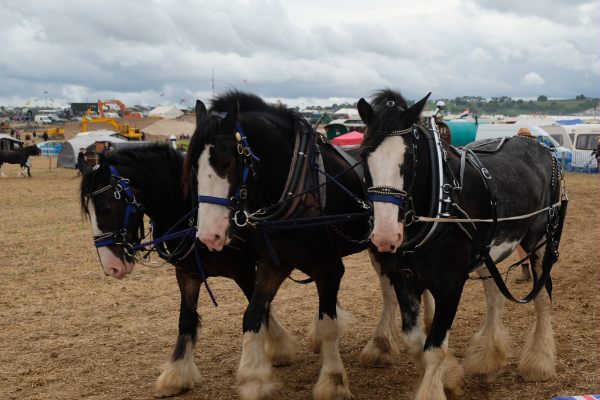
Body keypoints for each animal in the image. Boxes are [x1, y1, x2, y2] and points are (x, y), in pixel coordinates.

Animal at [81, 144, 296, 396]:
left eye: (105, 208)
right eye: (88, 212)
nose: (112, 268)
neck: (192, 214)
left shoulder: (244, 270)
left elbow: (259, 308)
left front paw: (279, 350)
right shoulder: (187, 274)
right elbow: (186, 319)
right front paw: (176, 376)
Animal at [185, 91, 390, 400]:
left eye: (226, 163)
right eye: (193, 167)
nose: (209, 236)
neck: (296, 188)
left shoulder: (329, 267)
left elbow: (329, 325)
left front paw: (333, 381)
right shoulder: (274, 264)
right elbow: (253, 315)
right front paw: (253, 380)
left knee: (391, 288)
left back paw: (382, 344)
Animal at [356, 90, 568, 400]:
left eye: (410, 158)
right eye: (363, 156)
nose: (384, 235)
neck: (440, 201)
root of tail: (542, 148)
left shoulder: (451, 283)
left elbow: (434, 349)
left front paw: (438, 386)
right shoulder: (404, 279)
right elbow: (415, 341)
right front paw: (451, 377)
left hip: (541, 241)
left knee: (542, 297)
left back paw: (538, 363)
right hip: (486, 251)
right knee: (494, 298)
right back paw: (489, 361)